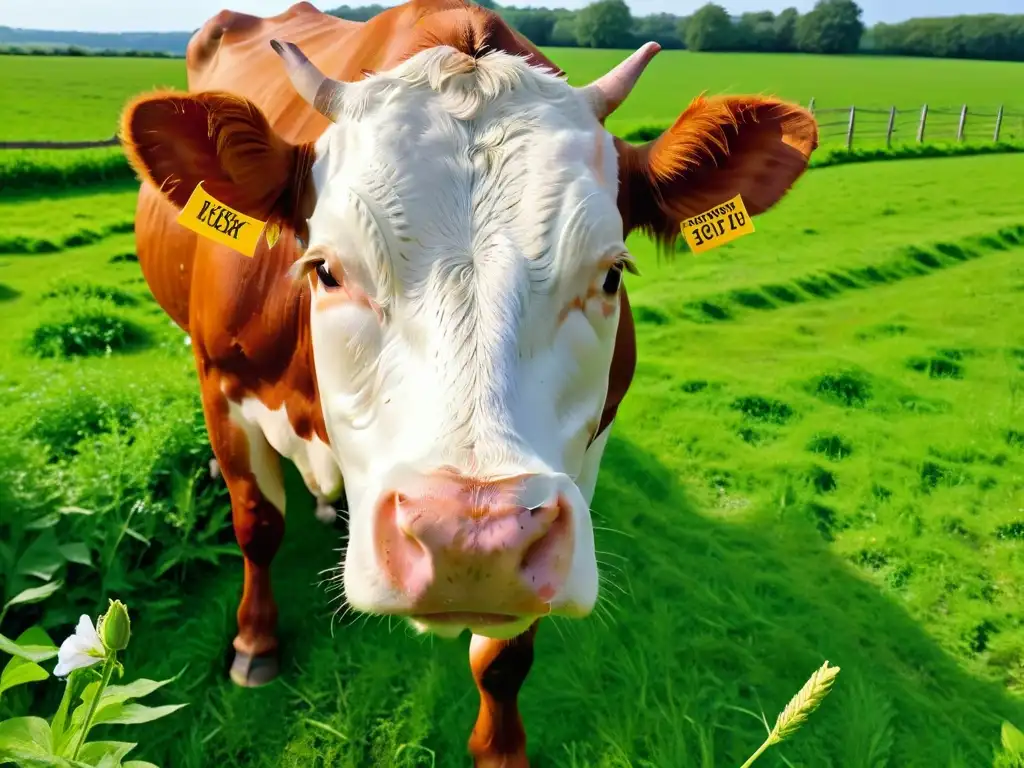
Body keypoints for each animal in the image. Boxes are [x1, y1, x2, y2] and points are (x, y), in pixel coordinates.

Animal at [119, 0, 819, 765]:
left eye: (610, 275)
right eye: (326, 268)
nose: (470, 541)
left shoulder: (579, 464)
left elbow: (505, 656)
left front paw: (501, 747)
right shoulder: (221, 384)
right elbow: (257, 524)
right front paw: (255, 642)